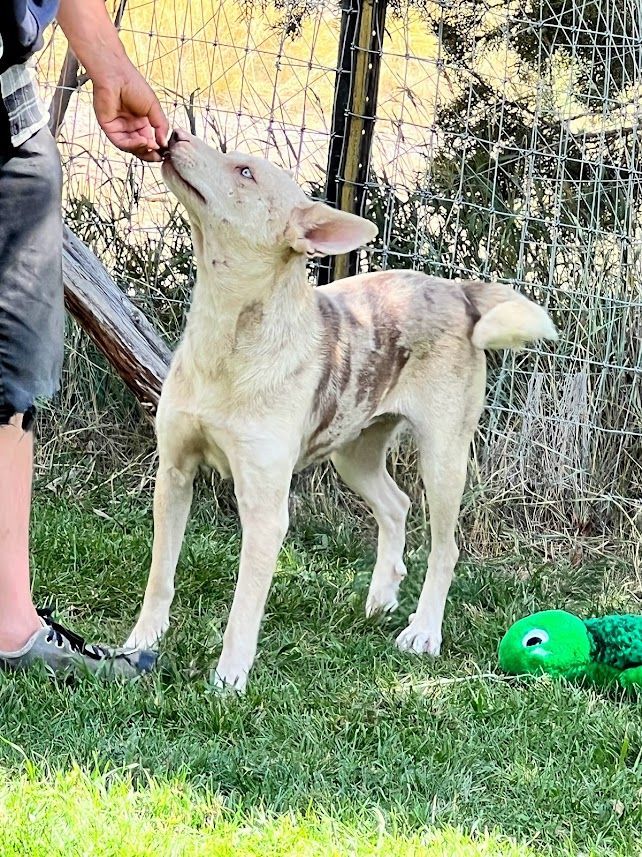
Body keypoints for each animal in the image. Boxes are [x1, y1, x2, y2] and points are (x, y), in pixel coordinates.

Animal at [124, 127, 556, 688]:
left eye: (245, 172)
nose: (173, 134)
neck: (227, 334)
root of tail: (457, 290)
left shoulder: (265, 509)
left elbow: (245, 605)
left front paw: (230, 679)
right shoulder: (174, 475)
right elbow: (161, 574)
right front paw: (140, 643)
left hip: (443, 459)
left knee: (445, 547)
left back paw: (423, 632)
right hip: (353, 455)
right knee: (396, 505)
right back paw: (381, 598)